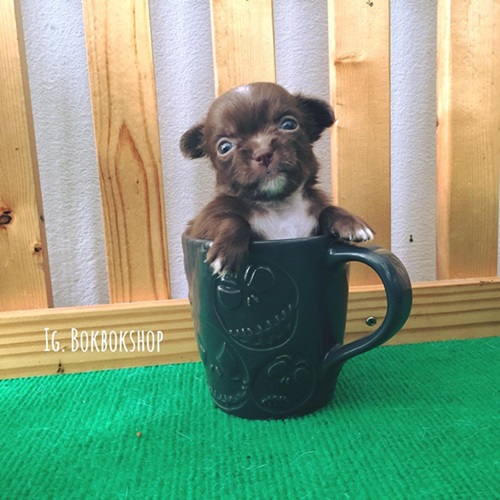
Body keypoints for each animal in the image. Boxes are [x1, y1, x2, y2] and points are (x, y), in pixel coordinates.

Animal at [180, 82, 373, 276]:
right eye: (224, 147)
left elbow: (327, 209)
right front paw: (226, 251)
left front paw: (351, 223)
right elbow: (234, 220)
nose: (263, 153)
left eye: (289, 124)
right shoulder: (201, 224)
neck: (279, 204)